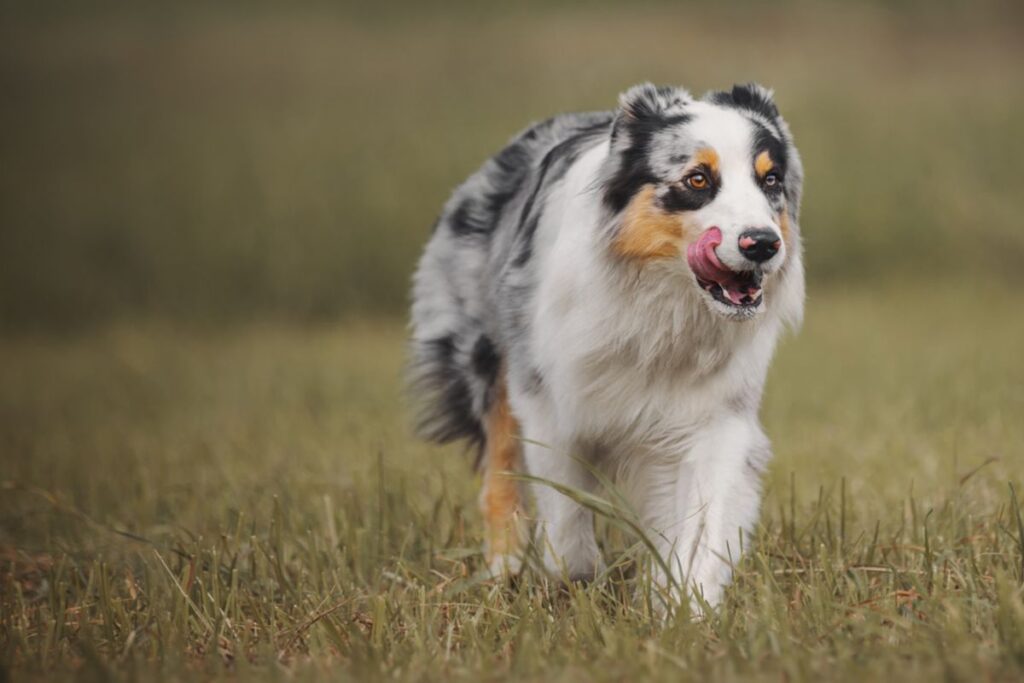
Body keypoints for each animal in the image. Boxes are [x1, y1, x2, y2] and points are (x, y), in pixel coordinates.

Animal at [405, 81, 798, 610]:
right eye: (697, 179)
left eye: (770, 179)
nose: (763, 243)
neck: (659, 301)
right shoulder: (549, 402)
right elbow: (565, 515)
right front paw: (577, 582)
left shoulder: (714, 415)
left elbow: (704, 520)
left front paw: (684, 607)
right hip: (489, 360)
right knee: (500, 475)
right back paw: (505, 572)